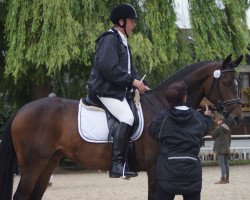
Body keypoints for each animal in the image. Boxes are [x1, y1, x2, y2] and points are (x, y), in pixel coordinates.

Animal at [0, 54, 243, 199]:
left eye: (238, 83)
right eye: (226, 83)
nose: (237, 119)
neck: (165, 104)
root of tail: (21, 110)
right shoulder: (155, 169)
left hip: (48, 162)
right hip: (33, 164)